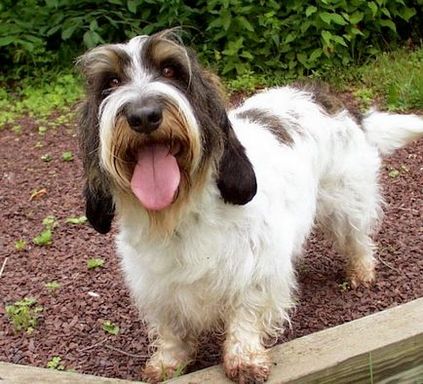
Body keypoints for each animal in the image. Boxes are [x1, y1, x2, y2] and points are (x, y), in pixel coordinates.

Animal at [77, 30, 423, 384]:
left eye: (171, 71)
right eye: (111, 82)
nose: (144, 115)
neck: (182, 214)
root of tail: (327, 98)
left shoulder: (254, 270)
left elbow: (247, 314)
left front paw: (244, 358)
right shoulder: (156, 286)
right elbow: (171, 328)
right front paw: (167, 362)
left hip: (347, 203)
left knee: (358, 240)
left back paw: (361, 272)